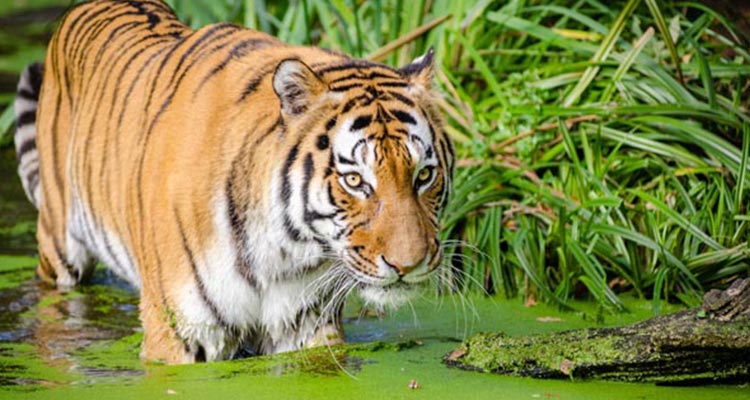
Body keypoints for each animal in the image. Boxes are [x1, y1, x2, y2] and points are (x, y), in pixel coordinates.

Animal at [13, 0, 454, 364]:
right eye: (354, 180)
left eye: (424, 175)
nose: (407, 265)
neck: (286, 250)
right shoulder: (179, 332)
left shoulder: (305, 326)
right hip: (59, 248)